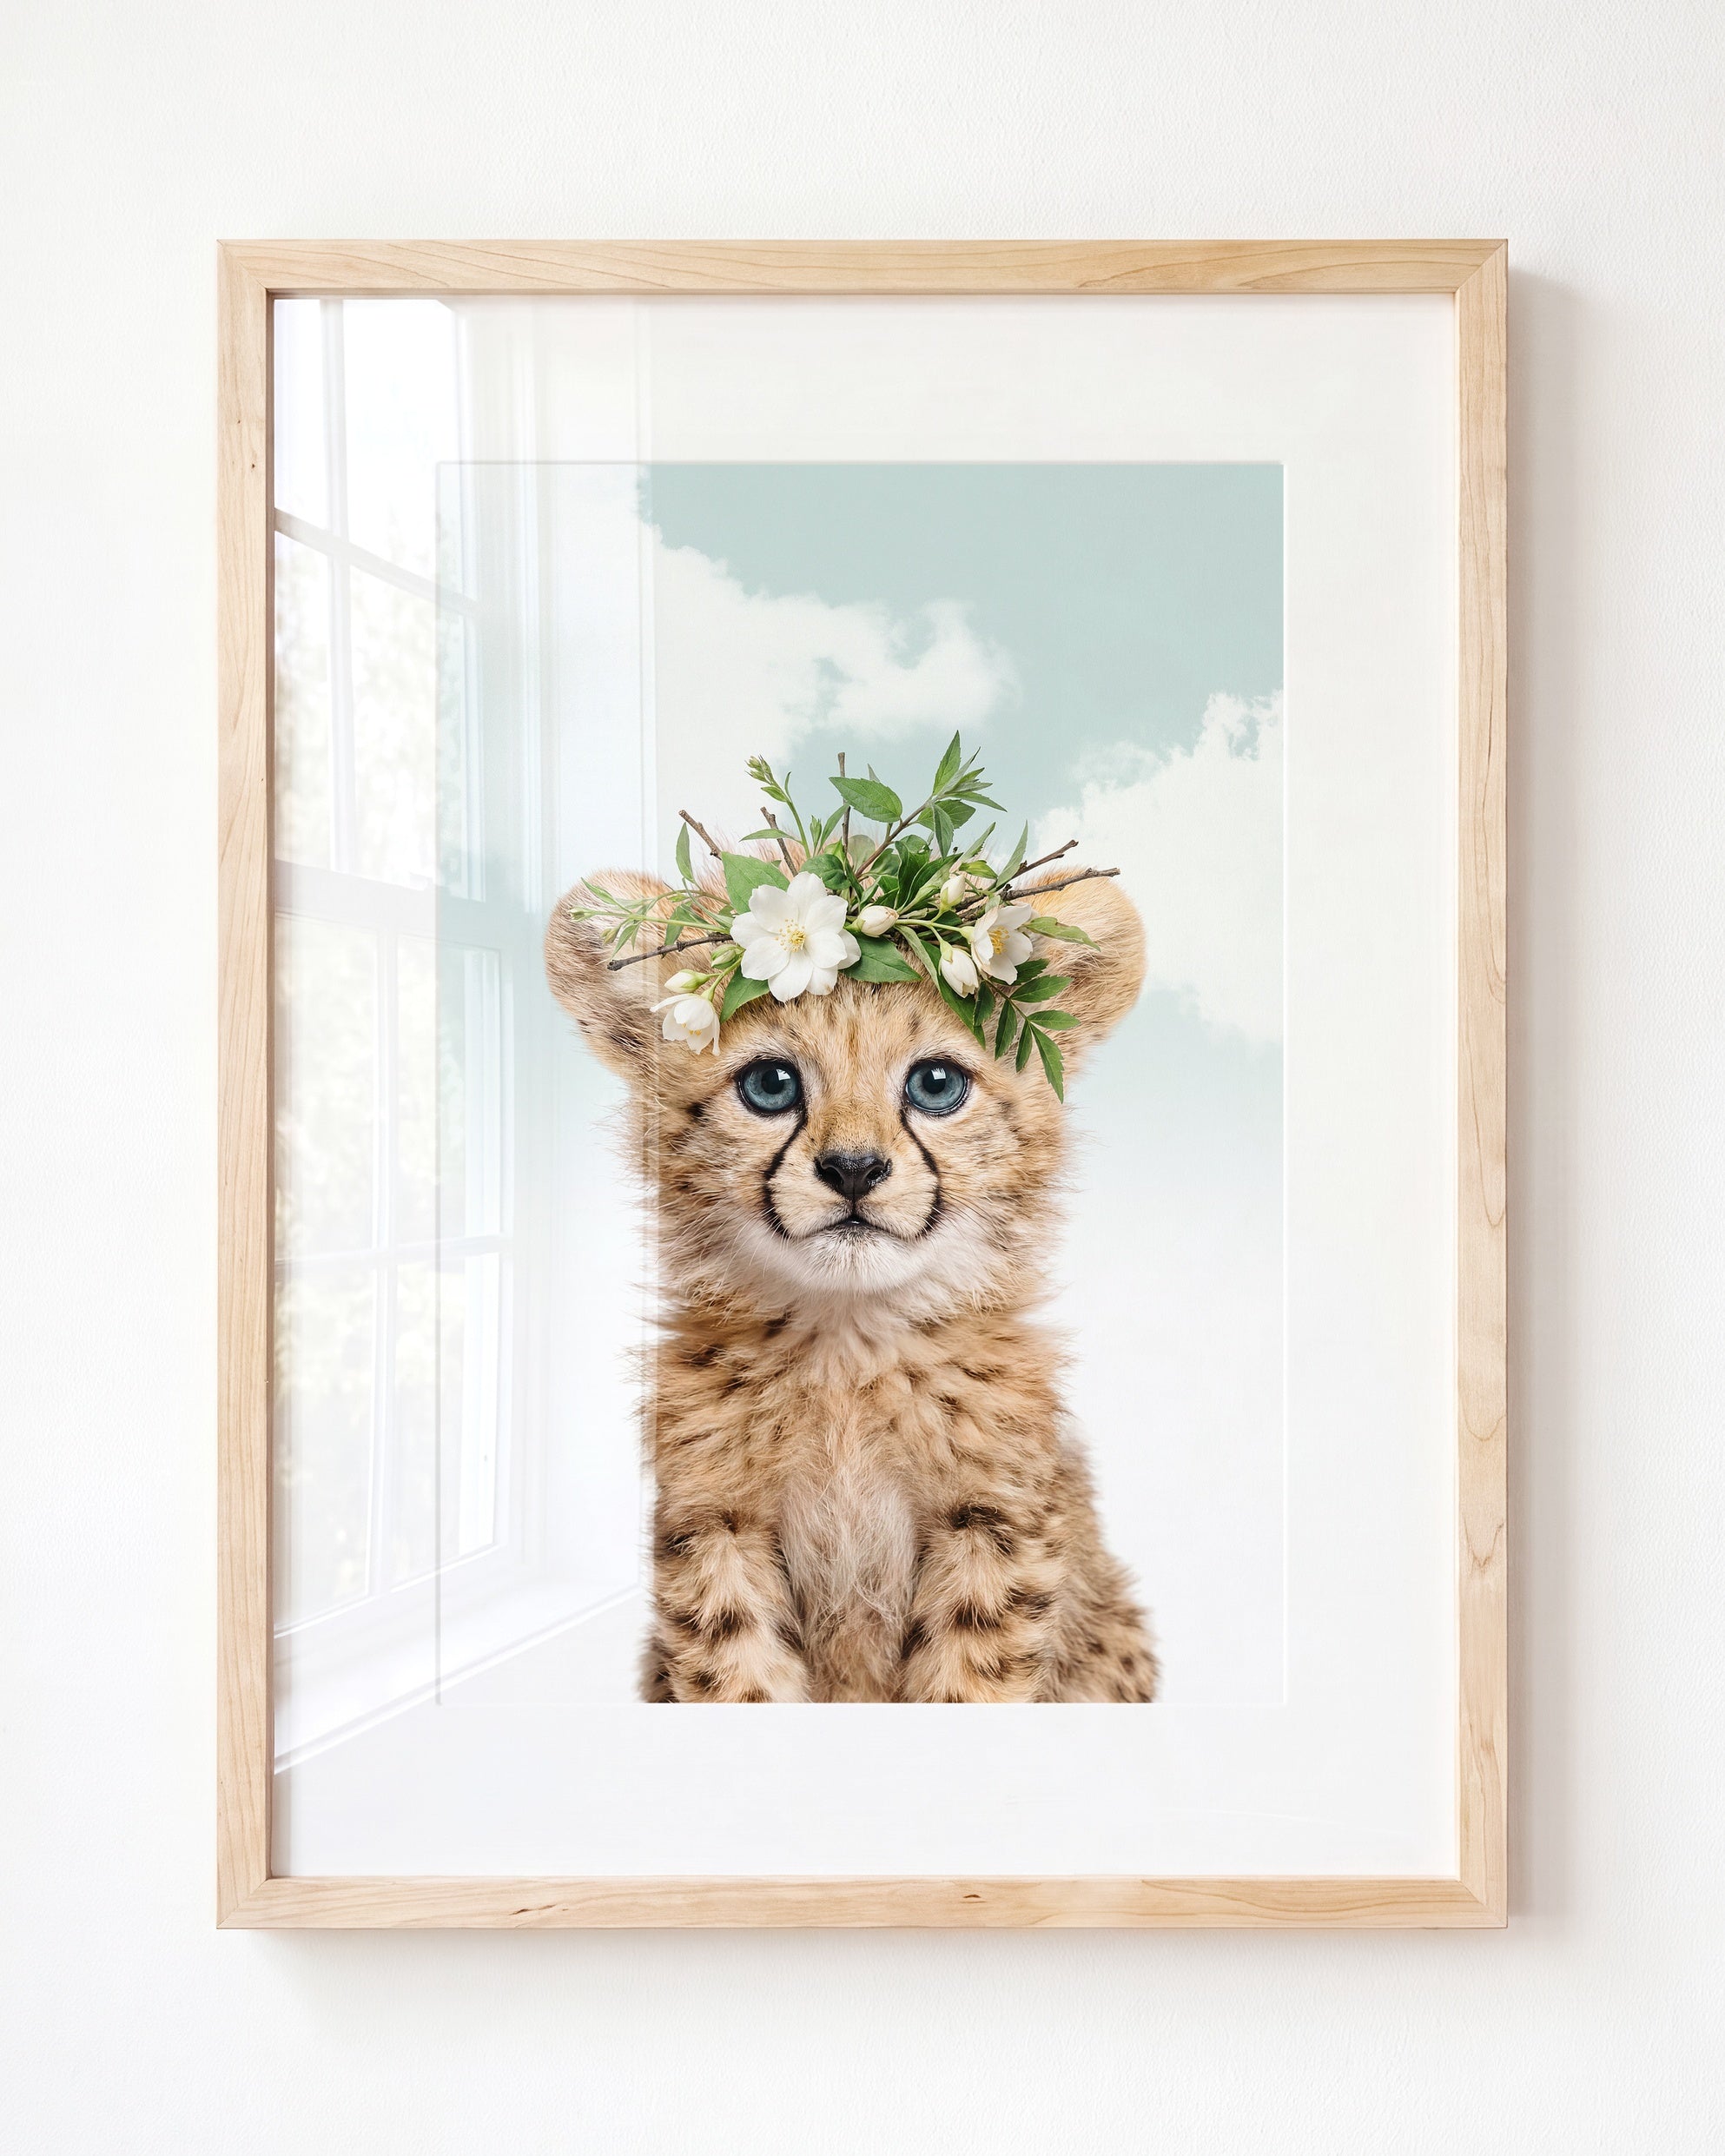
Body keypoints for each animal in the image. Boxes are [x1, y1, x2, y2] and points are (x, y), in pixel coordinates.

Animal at [543, 863, 1159, 1703]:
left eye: (936, 1084)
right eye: (771, 1084)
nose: (855, 1169)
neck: (848, 1344)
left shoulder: (992, 1526)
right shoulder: (716, 1526)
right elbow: (739, 1677)